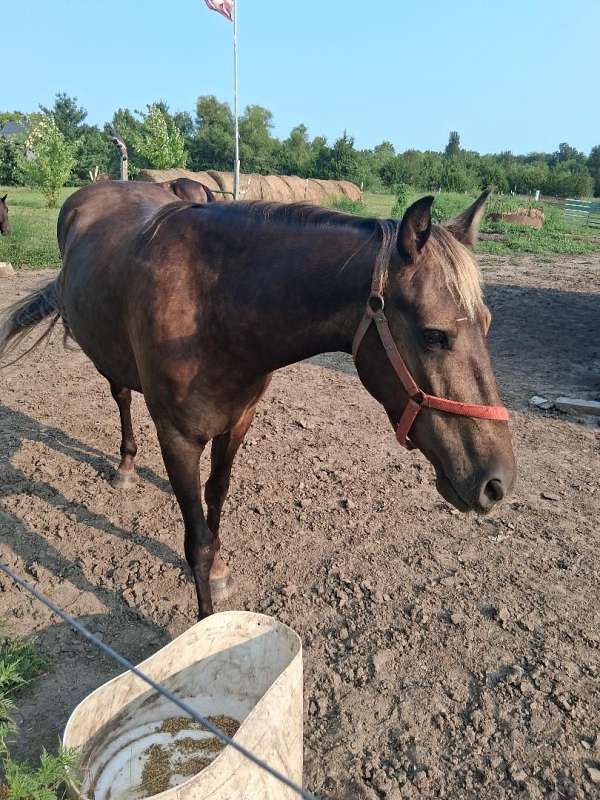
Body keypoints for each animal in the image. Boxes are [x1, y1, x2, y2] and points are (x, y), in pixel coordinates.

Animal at [0, 185, 515, 619]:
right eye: (433, 335)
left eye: (490, 323)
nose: (498, 482)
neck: (211, 304)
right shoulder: (177, 438)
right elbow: (196, 542)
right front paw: (206, 624)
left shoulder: (237, 423)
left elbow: (216, 500)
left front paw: (220, 572)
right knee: (122, 396)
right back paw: (125, 467)